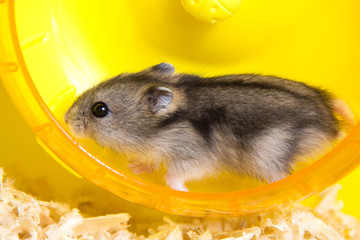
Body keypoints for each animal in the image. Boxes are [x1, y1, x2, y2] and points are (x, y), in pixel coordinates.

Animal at [64, 62, 352, 191]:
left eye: (100, 110)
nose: (66, 120)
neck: (159, 130)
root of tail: (330, 125)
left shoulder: (194, 160)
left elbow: (173, 175)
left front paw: (180, 191)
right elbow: (150, 162)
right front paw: (135, 167)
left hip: (270, 160)